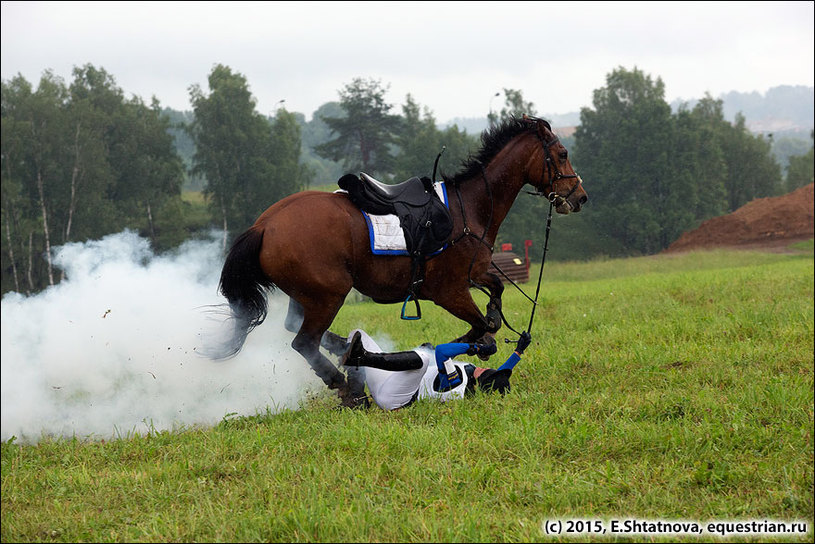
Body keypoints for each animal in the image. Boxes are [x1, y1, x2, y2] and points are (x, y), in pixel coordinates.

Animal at [214, 116, 588, 404]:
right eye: (562, 153)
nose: (580, 197)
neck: (470, 208)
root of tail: (264, 225)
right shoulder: (449, 291)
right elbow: (482, 327)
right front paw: (477, 344)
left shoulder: (475, 274)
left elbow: (495, 296)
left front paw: (487, 328)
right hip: (329, 294)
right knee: (303, 341)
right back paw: (348, 386)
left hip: (306, 294)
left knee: (298, 329)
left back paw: (346, 350)